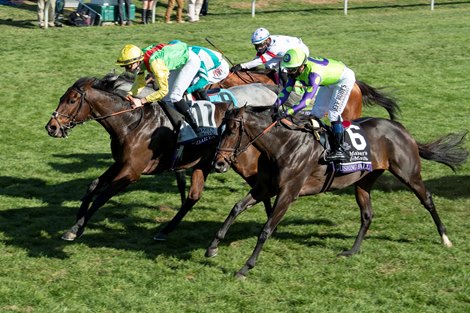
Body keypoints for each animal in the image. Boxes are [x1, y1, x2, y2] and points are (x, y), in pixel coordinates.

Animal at [210, 106, 470, 276]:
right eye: (220, 128)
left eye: (231, 129)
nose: (219, 163)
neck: (284, 145)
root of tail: (401, 129)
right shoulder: (265, 187)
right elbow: (236, 208)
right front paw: (213, 247)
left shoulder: (288, 193)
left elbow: (266, 229)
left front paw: (245, 267)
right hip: (363, 181)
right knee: (367, 215)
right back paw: (352, 250)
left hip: (409, 174)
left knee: (428, 199)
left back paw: (445, 238)